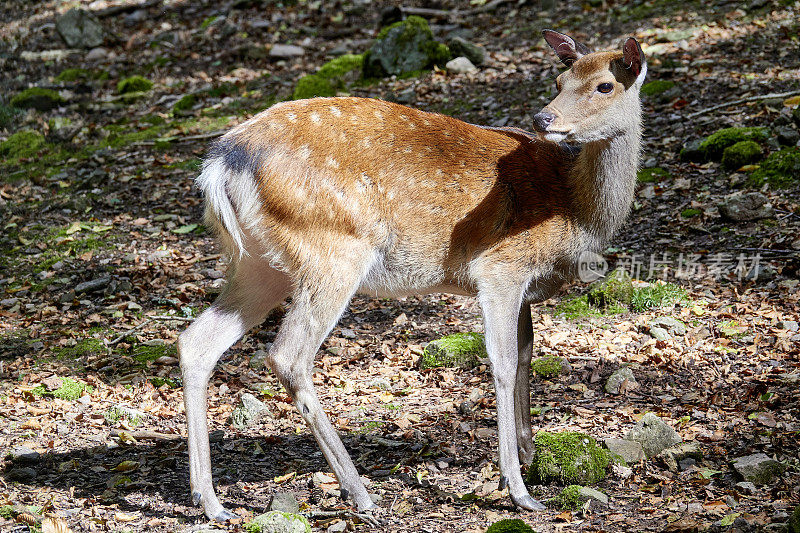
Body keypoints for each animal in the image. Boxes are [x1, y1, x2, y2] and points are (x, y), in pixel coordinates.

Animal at [178, 30, 648, 520]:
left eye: (604, 86)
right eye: (559, 80)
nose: (544, 117)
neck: (573, 208)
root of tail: (219, 164)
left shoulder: (523, 286)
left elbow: (525, 355)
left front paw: (531, 458)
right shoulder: (501, 266)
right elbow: (502, 363)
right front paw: (517, 487)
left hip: (260, 264)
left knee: (196, 342)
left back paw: (210, 501)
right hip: (331, 249)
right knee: (288, 355)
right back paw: (359, 492)